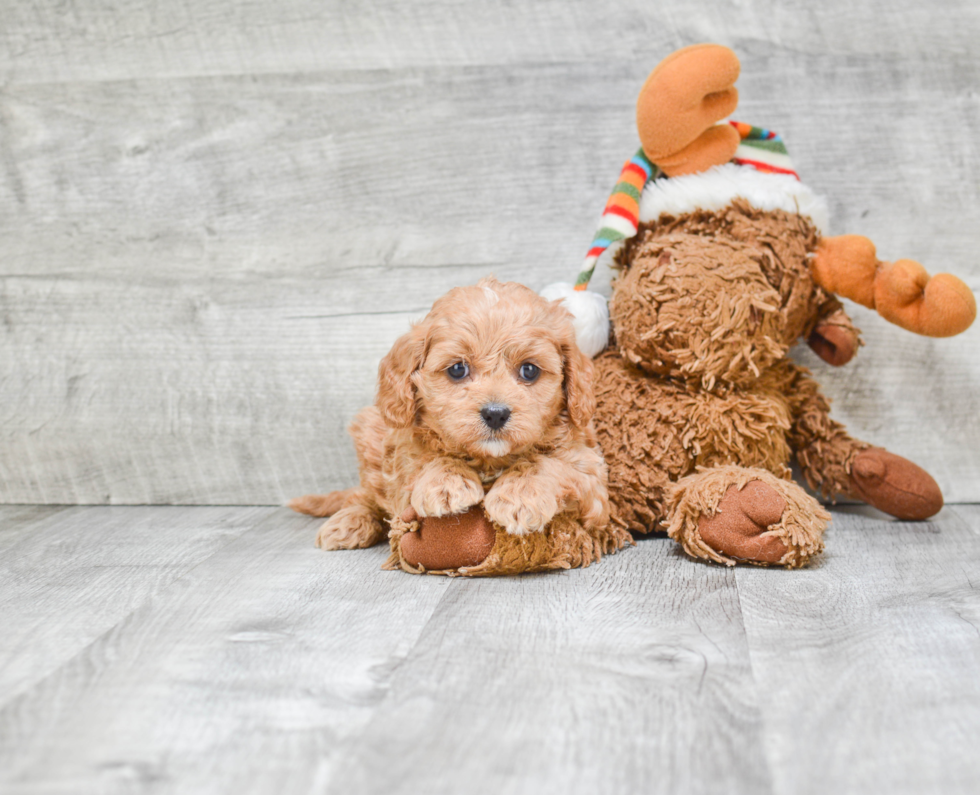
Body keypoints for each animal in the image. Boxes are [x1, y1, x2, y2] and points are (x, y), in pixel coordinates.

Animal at [288, 276, 632, 576]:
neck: (489, 459)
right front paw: (446, 483)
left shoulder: (592, 480)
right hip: (370, 432)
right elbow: (427, 459)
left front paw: (519, 497)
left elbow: (547, 463)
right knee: (366, 496)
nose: (495, 413)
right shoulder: (402, 461)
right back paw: (348, 523)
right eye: (457, 369)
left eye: (530, 370)